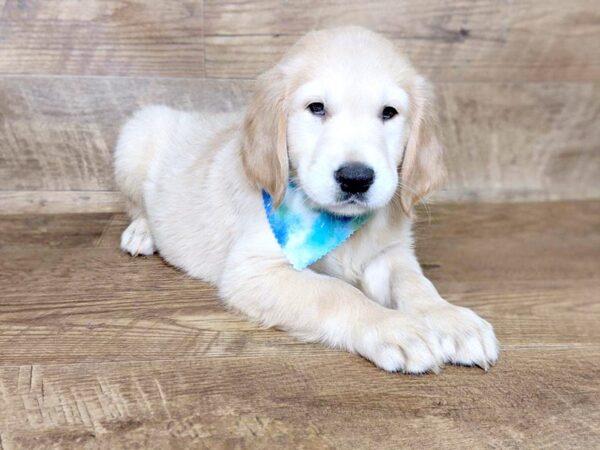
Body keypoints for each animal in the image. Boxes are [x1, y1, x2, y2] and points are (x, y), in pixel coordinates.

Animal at [115, 26, 500, 374]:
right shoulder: (254, 271)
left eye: (389, 113)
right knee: (136, 205)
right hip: (136, 135)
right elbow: (335, 292)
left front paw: (451, 319)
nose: (356, 178)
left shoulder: (389, 254)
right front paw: (394, 328)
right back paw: (142, 232)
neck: (335, 221)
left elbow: (416, 283)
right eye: (317, 108)